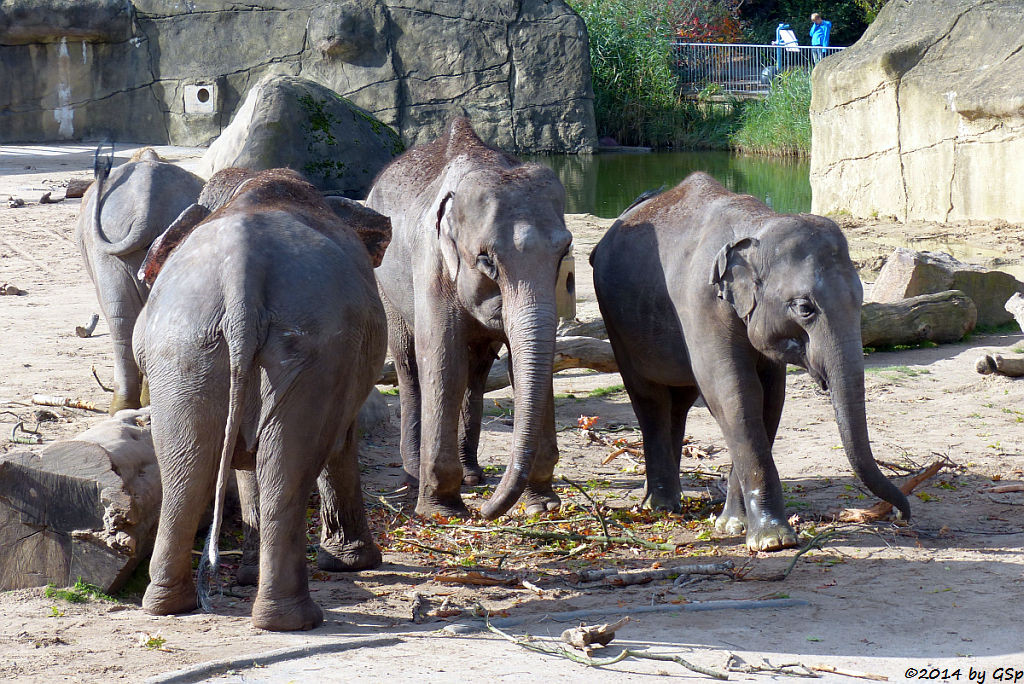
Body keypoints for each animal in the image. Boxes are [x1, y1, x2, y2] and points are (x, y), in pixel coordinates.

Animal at [75, 149, 203, 413]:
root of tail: (146, 202)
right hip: (109, 251)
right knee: (122, 315)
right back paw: (128, 406)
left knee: (121, 317)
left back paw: (132, 405)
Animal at [134, 166, 389, 630]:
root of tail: (242, 275)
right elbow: (341, 440)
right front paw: (355, 565)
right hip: (315, 352)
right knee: (288, 467)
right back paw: (295, 620)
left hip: (184, 348)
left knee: (187, 465)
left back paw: (169, 604)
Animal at [366, 118, 577, 518]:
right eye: (485, 260)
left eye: (563, 253)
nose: (486, 512)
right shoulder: (431, 263)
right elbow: (442, 359)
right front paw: (443, 510)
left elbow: (525, 363)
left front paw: (541, 505)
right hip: (385, 283)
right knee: (409, 365)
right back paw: (414, 474)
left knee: (476, 372)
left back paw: (473, 475)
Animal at [593, 174, 913, 552]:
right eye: (804, 308)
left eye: (860, 299)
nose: (900, 515)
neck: (757, 225)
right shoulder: (702, 303)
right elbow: (735, 394)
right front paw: (773, 541)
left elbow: (770, 399)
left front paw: (732, 525)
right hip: (617, 325)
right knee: (650, 399)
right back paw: (660, 506)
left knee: (679, 401)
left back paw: (662, 500)